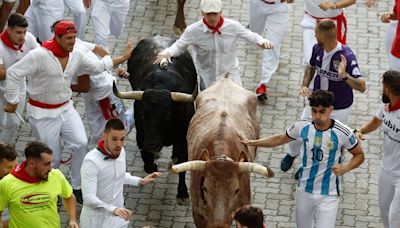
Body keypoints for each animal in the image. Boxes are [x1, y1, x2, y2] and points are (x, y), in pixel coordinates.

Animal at [112, 36, 197, 203]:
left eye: (168, 115)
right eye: (143, 114)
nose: (152, 144)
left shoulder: (183, 138)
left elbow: (181, 163)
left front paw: (182, 192)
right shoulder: (141, 135)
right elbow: (148, 162)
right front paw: (152, 166)